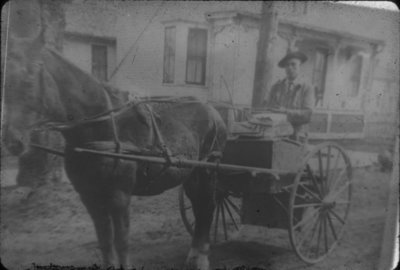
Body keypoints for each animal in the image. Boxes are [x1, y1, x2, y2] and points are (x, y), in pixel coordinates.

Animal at [2, 32, 228, 270]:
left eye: (28, 81)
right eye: (6, 83)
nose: (12, 140)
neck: (101, 128)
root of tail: (213, 110)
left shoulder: (119, 196)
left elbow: (121, 241)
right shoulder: (89, 196)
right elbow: (104, 240)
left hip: (207, 170)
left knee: (208, 206)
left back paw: (202, 257)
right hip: (191, 174)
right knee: (199, 206)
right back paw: (194, 253)